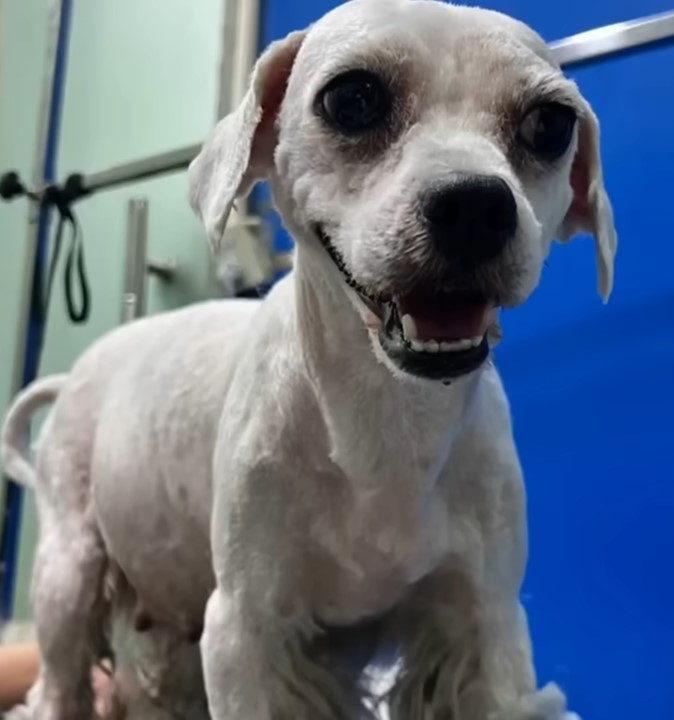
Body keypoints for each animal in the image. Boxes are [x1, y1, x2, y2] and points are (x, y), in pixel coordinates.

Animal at [0, 1, 612, 720]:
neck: (383, 422)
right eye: (352, 99)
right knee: (57, 684)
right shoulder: (245, 634)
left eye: (550, 125)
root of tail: (74, 375)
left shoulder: (484, 629)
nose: (475, 206)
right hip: (67, 577)